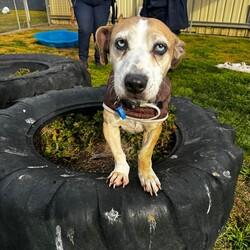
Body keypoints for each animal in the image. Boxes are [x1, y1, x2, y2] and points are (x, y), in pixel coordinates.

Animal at [95, 15, 186, 195]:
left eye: (160, 47)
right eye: (121, 43)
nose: (135, 83)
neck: (136, 107)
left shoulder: (155, 129)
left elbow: (145, 153)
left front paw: (147, 176)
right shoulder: (109, 125)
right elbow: (118, 152)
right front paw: (120, 172)